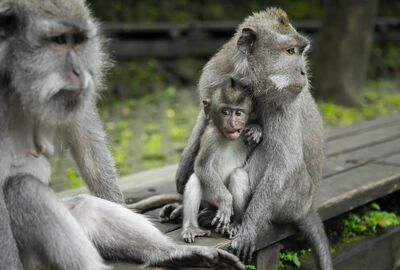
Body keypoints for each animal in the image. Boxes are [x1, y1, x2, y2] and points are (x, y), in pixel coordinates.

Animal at [0, 1, 244, 268]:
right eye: (59, 41)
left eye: (78, 41)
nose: (79, 72)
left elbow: (91, 154)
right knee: (24, 189)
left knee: (83, 206)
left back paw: (171, 254)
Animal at [161, 7, 332, 268]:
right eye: (290, 51)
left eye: (299, 51)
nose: (303, 72)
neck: (249, 81)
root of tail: (307, 206)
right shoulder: (214, 76)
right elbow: (204, 120)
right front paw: (182, 174)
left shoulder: (286, 102)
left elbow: (285, 162)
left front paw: (248, 226)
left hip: (293, 198)